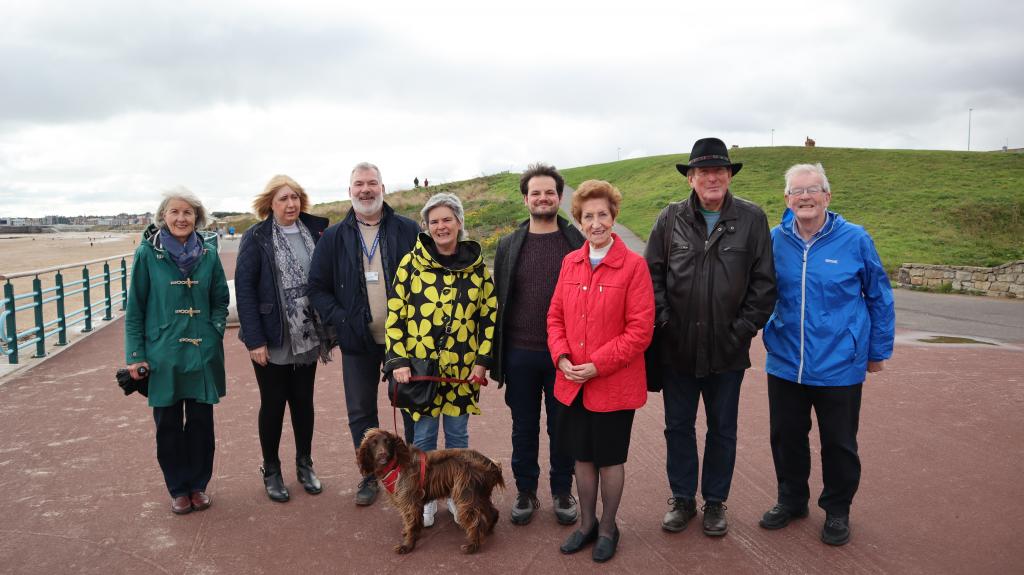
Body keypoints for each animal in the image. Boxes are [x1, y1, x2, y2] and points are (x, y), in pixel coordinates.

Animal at [358, 425, 505, 552]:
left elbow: (412, 524)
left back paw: (473, 546)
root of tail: (491, 464)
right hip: (479, 495)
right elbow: (412, 523)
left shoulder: (410, 501)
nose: (382, 454)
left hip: (467, 496)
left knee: (477, 522)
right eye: (373, 443)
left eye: (387, 441)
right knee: (493, 512)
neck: (396, 464)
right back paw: (487, 532)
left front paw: (407, 546)